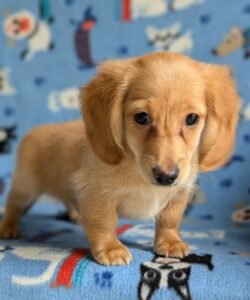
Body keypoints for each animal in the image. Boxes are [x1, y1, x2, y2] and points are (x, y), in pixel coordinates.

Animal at [0, 52, 241, 264]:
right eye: (141, 117)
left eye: (191, 118)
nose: (166, 177)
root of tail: (34, 131)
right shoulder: (99, 196)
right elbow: (104, 223)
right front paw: (111, 249)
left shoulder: (178, 193)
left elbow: (169, 219)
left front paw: (170, 242)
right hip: (26, 188)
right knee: (13, 204)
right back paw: (8, 227)